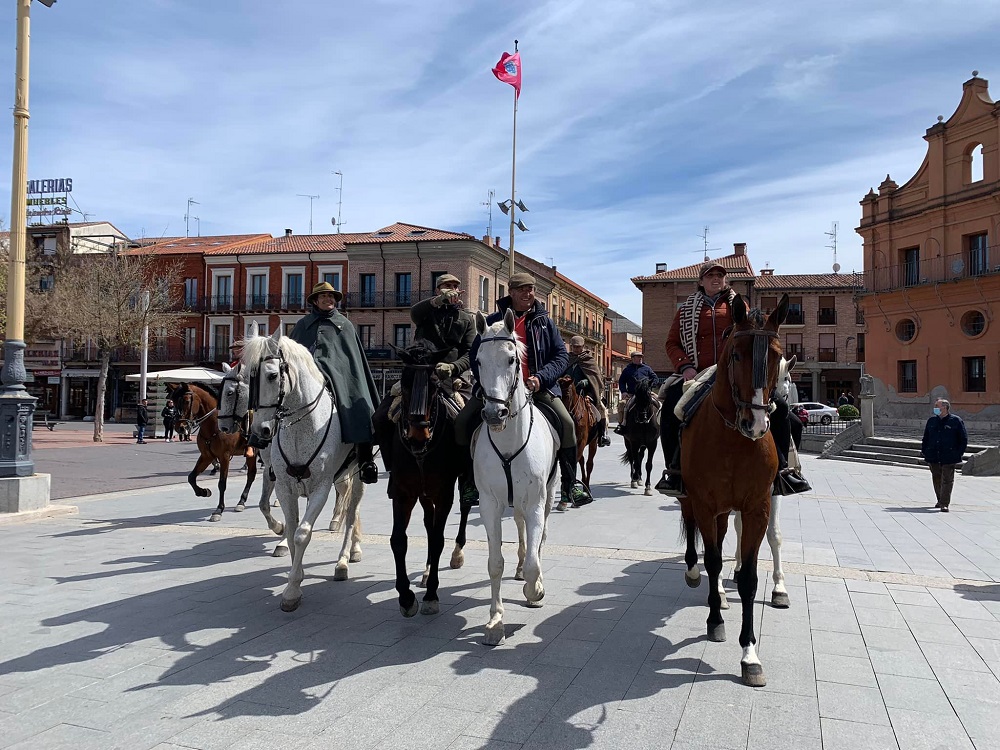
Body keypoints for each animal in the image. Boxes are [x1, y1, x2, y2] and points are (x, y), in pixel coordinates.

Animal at [168, 382, 256, 524]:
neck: (214, 424)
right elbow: (191, 477)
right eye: (174, 402)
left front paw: (219, 510)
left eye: (186, 401)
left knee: (254, 475)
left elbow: (222, 483)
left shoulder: (224, 456)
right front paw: (203, 492)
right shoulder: (206, 456)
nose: (179, 427)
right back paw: (241, 502)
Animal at [217, 360, 366, 576]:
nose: (223, 427)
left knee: (352, 508)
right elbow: (265, 505)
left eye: (229, 393)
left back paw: (350, 550)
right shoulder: (273, 472)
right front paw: (281, 532)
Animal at [242, 332, 364, 612]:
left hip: (356, 473)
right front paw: (293, 581)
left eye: (272, 376)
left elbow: (301, 534)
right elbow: (288, 529)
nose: (259, 432)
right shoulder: (284, 486)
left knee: (351, 514)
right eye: (248, 377)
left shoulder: (321, 488)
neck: (301, 427)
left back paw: (344, 559)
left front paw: (292, 590)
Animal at [470, 310, 560, 648]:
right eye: (478, 360)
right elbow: (495, 563)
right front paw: (495, 621)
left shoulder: (535, 501)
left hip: (548, 495)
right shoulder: (489, 504)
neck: (509, 439)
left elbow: (536, 558)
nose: (494, 414)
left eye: (511, 359)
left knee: (540, 539)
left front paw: (535, 591)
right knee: (521, 530)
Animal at [680, 292, 788, 688]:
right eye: (737, 354)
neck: (733, 441)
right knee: (696, 536)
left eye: (777, 354)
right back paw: (696, 576)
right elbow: (712, 560)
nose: (754, 423)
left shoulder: (757, 506)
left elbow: (751, 579)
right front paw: (715, 621)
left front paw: (749, 654)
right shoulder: (705, 503)